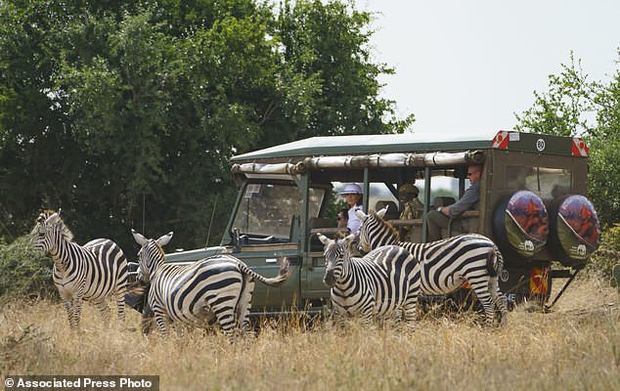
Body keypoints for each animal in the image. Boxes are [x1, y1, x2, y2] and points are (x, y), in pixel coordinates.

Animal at [131, 230, 290, 336]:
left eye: (138, 255)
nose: (139, 278)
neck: (157, 270)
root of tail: (238, 264)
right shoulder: (175, 315)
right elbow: (180, 337)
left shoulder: (159, 309)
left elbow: (164, 335)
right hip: (245, 302)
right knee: (245, 334)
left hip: (222, 301)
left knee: (232, 334)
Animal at [356, 208, 506, 328]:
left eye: (359, 230)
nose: (359, 248)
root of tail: (492, 244)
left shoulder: (398, 285)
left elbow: (397, 312)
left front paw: (396, 328)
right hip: (492, 277)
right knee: (500, 300)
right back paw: (504, 326)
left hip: (476, 275)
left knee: (489, 304)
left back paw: (487, 328)